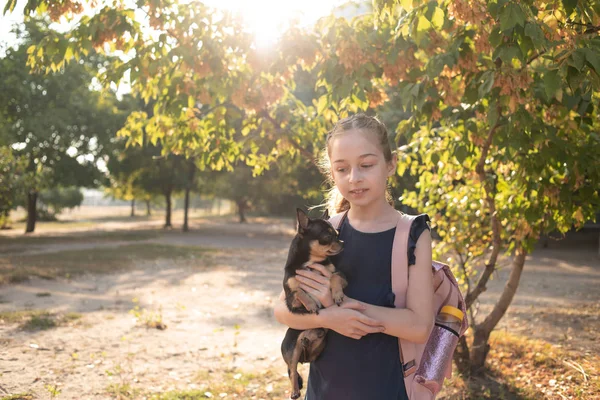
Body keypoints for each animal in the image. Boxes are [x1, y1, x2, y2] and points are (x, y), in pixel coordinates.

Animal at [282, 209, 346, 400]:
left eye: (337, 234)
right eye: (327, 236)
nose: (342, 243)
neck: (311, 264)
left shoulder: (340, 275)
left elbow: (334, 277)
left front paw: (337, 295)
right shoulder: (292, 300)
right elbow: (299, 290)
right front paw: (310, 304)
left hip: (318, 348)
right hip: (292, 349)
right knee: (293, 371)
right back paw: (295, 391)